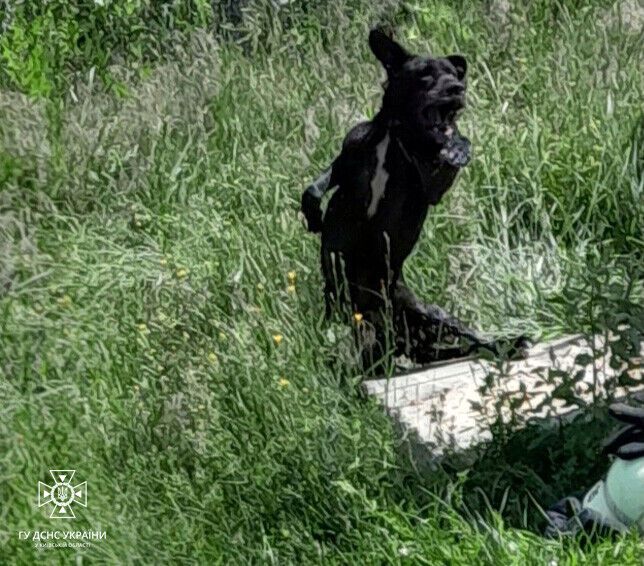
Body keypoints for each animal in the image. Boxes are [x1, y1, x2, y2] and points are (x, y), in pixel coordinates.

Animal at [300, 30, 524, 372]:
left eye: (455, 73)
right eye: (425, 74)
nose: (458, 88)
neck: (396, 135)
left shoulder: (431, 187)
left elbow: (453, 145)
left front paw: (457, 146)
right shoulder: (347, 160)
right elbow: (316, 186)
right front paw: (313, 214)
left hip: (432, 315)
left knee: (468, 338)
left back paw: (509, 344)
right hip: (350, 310)